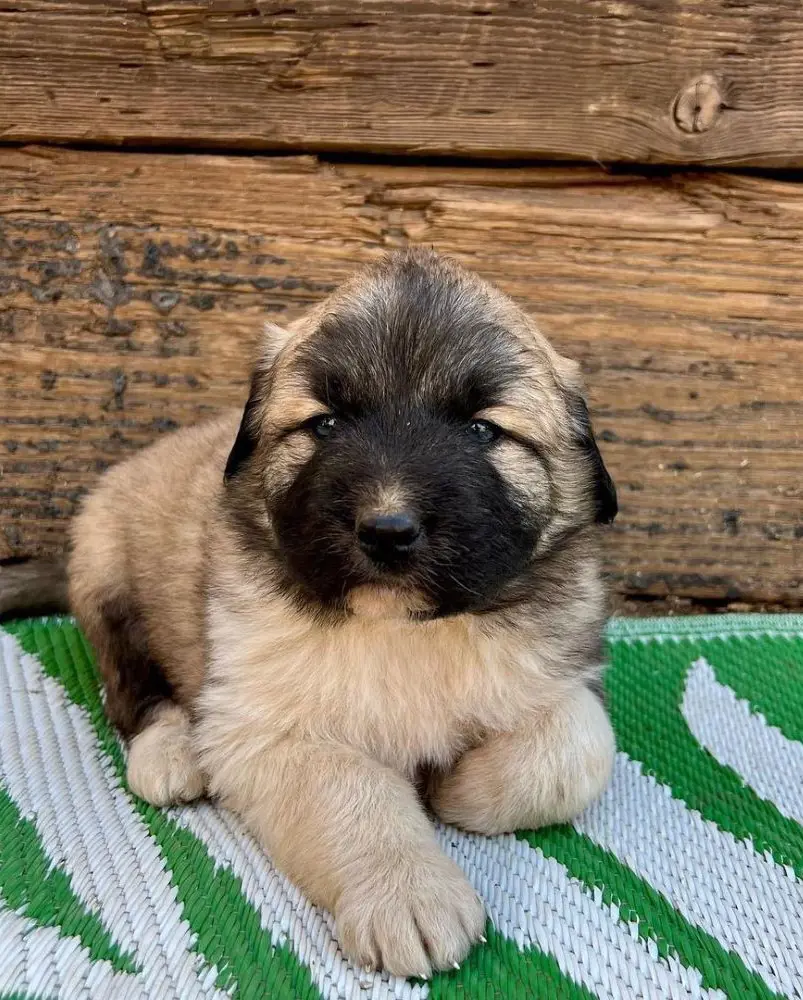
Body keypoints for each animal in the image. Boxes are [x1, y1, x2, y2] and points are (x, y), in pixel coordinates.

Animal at [67, 248, 617, 977]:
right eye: (326, 423)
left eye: (482, 430)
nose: (388, 530)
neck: (403, 629)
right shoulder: (274, 728)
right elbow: (353, 795)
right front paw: (406, 890)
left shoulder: (559, 671)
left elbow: (578, 747)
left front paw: (457, 789)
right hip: (105, 578)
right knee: (130, 693)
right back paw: (174, 751)